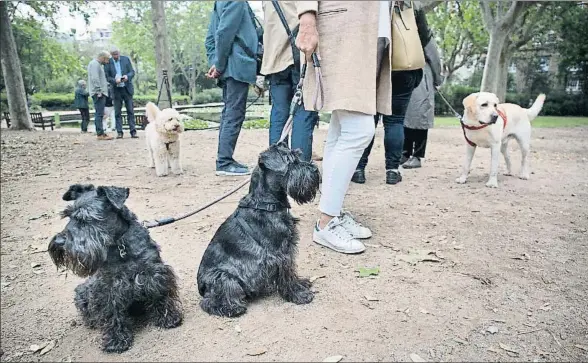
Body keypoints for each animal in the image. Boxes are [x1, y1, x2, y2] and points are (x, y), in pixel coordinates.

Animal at [47, 185, 181, 352]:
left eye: (85, 218)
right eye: (67, 216)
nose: (58, 242)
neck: (120, 245)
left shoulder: (154, 273)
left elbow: (160, 295)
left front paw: (168, 318)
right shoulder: (107, 287)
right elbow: (111, 312)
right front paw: (116, 340)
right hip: (82, 292)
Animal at [195, 142, 320, 318]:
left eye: (298, 156)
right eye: (289, 161)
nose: (315, 169)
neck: (265, 204)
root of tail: (201, 287)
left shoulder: (287, 250)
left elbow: (292, 273)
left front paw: (300, 283)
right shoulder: (281, 254)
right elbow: (287, 275)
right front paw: (299, 295)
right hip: (226, 278)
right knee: (209, 302)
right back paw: (232, 308)